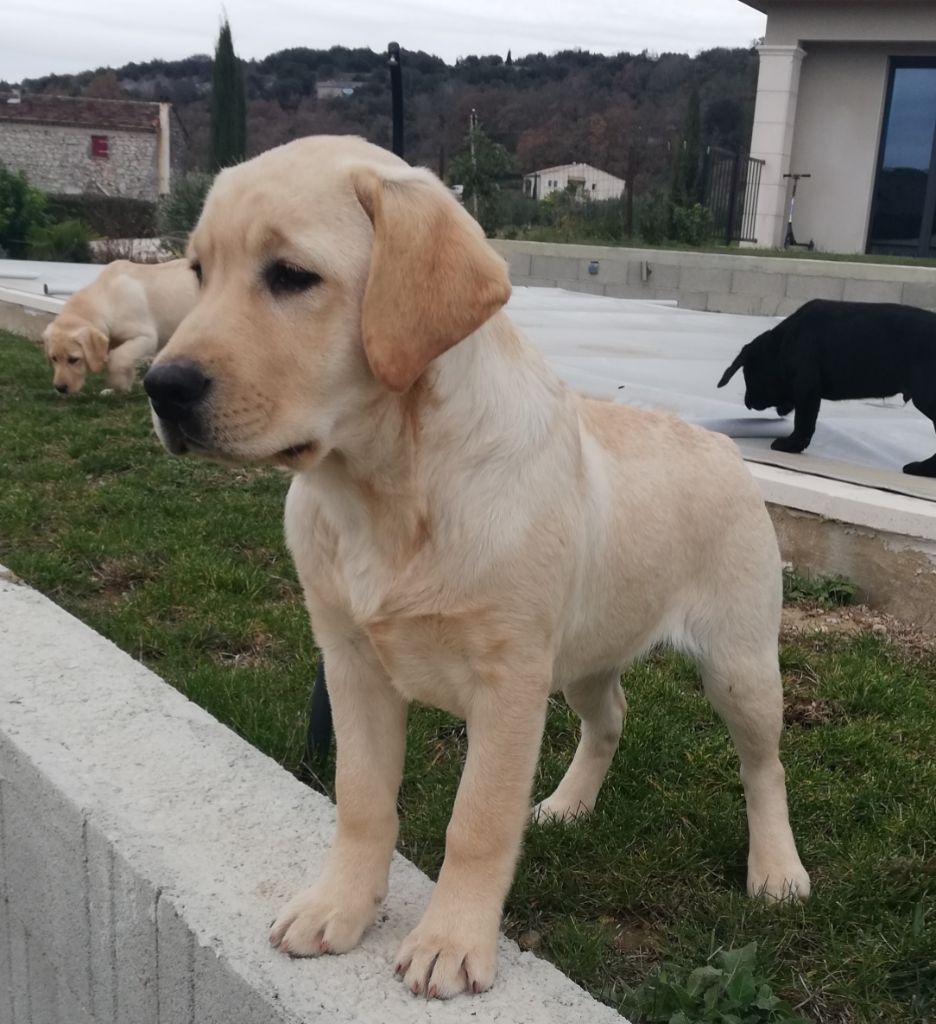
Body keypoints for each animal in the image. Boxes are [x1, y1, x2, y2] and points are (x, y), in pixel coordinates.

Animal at [42, 256, 199, 395]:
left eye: (73, 359)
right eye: (54, 358)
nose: (60, 388)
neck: (106, 298)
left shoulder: (146, 337)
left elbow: (118, 358)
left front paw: (117, 383)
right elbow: (124, 361)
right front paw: (120, 388)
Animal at [142, 134, 806, 999]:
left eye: (290, 276)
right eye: (196, 271)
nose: (160, 386)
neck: (386, 489)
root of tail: (721, 443)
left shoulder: (508, 681)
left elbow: (478, 822)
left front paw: (450, 942)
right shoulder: (351, 662)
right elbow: (361, 800)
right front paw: (338, 907)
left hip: (738, 663)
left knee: (765, 766)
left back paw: (777, 870)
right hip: (585, 654)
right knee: (611, 716)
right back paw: (568, 804)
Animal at [716, 292, 933, 475]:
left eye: (749, 376)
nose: (748, 403)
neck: (782, 344)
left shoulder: (806, 388)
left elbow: (803, 422)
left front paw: (791, 445)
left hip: (926, 397)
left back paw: (923, 468)